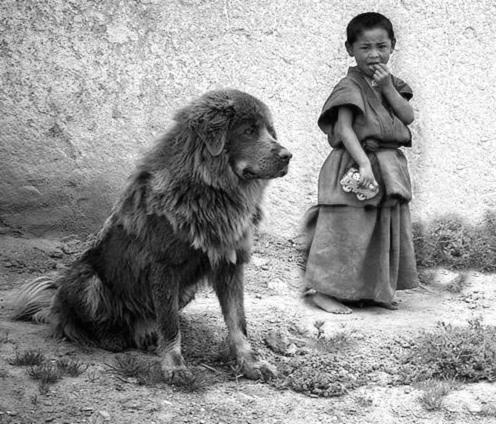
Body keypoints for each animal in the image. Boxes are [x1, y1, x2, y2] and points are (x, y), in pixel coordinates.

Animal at [10, 89, 290, 380]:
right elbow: (170, 325)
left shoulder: (229, 264)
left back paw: (145, 332)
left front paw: (251, 363)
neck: (209, 191)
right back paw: (113, 337)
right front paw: (174, 366)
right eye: (248, 131)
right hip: (87, 279)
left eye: (270, 132)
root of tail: (53, 301)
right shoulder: (164, 267)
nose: (288, 155)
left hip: (186, 291)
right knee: (79, 324)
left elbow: (238, 322)